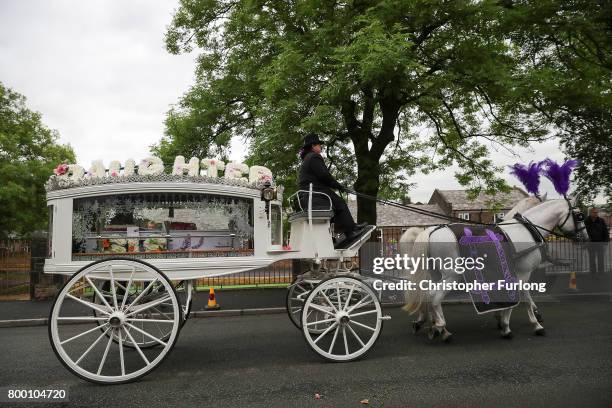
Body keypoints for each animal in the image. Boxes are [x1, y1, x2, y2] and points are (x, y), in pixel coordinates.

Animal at [404, 197, 584, 342]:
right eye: (579, 215)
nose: (585, 237)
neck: (526, 230)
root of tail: (433, 230)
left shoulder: (504, 274)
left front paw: (503, 320)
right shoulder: (523, 273)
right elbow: (524, 298)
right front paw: (529, 325)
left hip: (436, 274)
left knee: (428, 294)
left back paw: (433, 325)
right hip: (452, 275)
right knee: (434, 296)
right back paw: (440, 328)